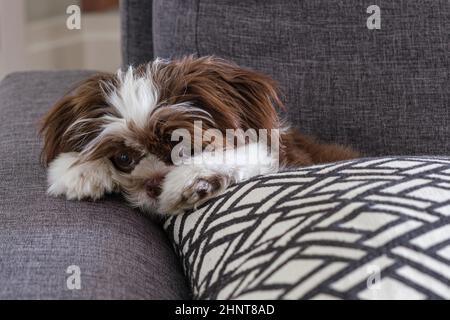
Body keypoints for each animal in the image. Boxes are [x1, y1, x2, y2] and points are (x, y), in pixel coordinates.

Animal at [40, 55, 360, 215]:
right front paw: (79, 170)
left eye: (182, 146)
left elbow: (245, 152)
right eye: (123, 158)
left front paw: (192, 179)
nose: (154, 184)